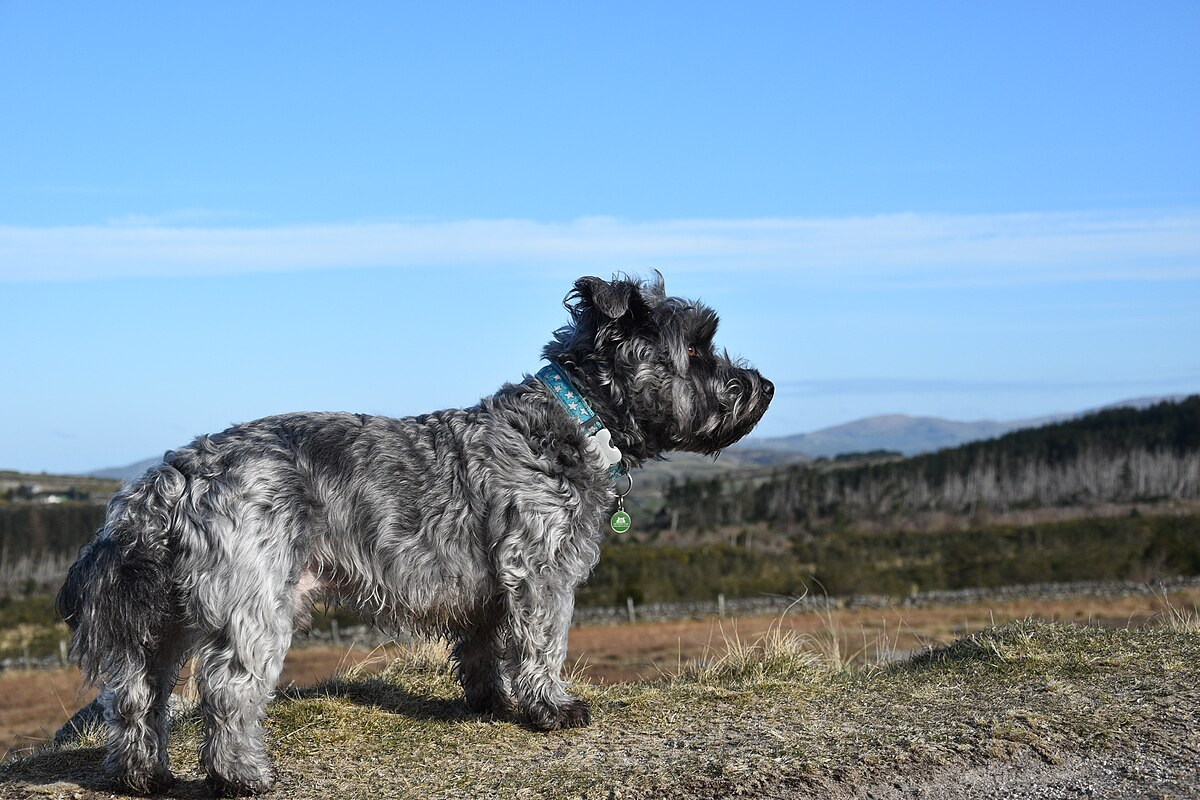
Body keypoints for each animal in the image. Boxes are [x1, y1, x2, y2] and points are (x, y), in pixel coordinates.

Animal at [56, 273, 772, 796]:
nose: (762, 386)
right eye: (697, 348)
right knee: (228, 686)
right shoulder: (540, 572)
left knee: (137, 693)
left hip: (168, 616)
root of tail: (170, 478)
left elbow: (483, 647)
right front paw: (551, 709)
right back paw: (244, 777)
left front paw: (491, 702)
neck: (575, 419)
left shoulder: (492, 586)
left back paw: (144, 776)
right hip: (253, 604)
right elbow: (542, 644)